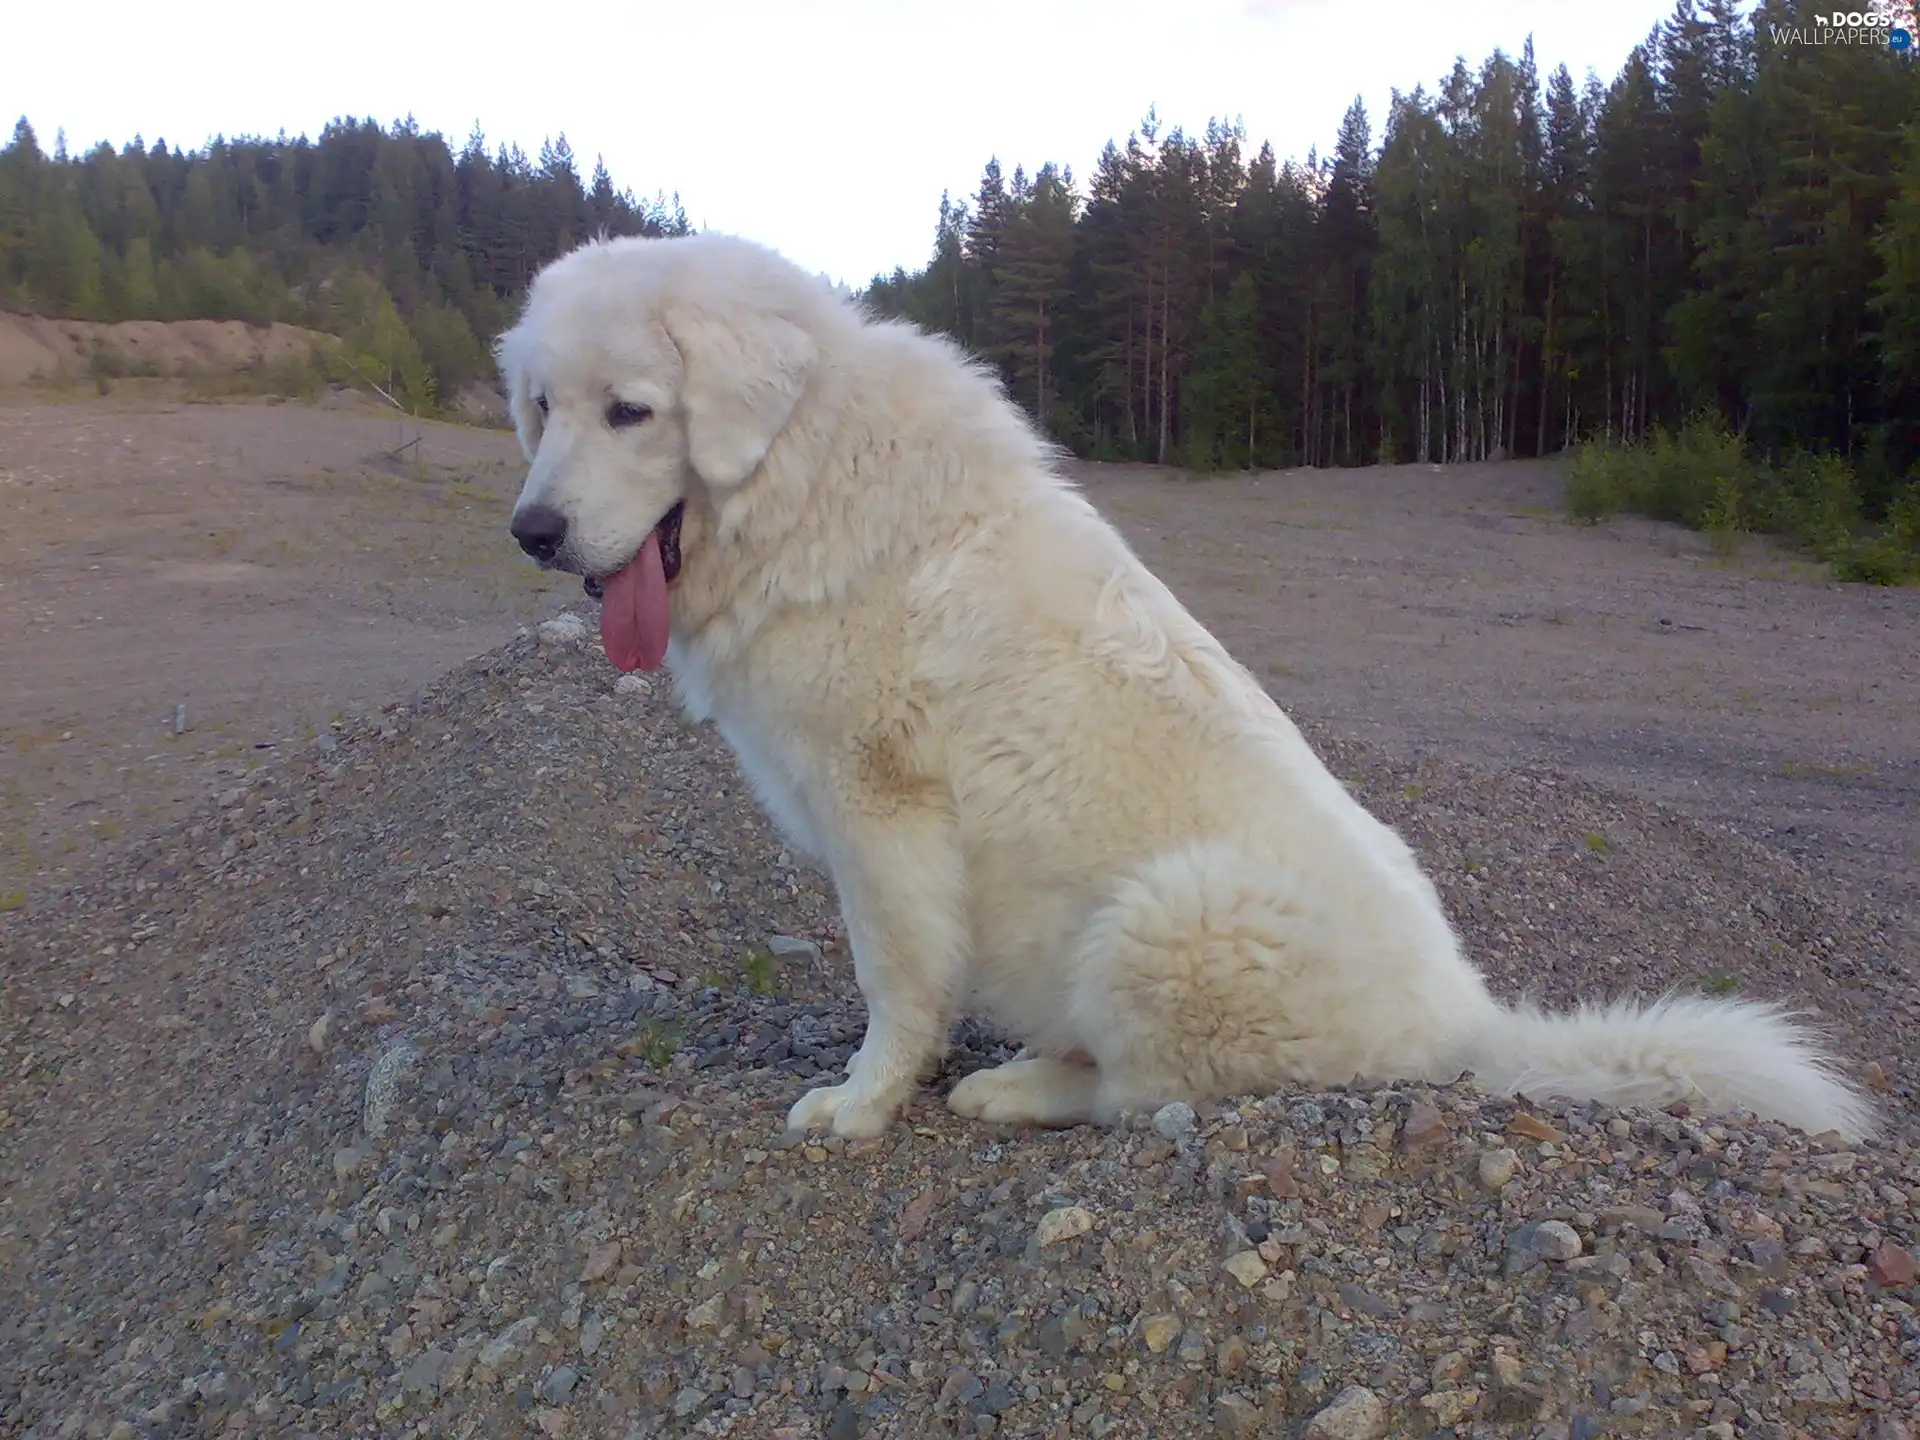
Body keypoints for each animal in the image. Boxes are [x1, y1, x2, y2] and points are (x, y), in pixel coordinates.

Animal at [495, 228, 1873, 1152]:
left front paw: (864, 1101)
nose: (532, 533)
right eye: (542, 407)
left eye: (632, 411)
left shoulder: (878, 809)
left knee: (1143, 1091)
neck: (804, 470)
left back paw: (1018, 1088)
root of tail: (1470, 1023)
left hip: (1166, 914)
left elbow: (897, 980)